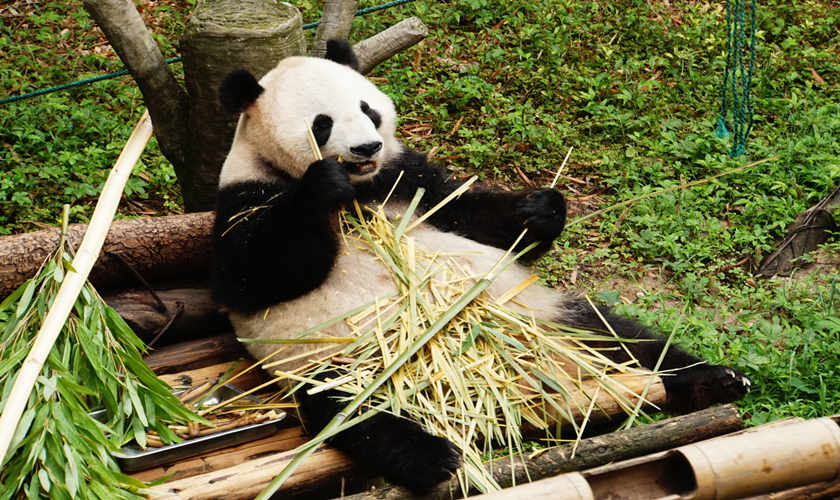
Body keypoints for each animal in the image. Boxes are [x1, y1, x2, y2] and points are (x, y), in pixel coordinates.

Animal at [210, 39, 748, 492]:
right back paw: (435, 457)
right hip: (343, 362)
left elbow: (473, 215)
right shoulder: (245, 197)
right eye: (322, 123)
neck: (362, 189)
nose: (366, 148)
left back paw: (714, 380)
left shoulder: (407, 177)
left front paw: (541, 210)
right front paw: (323, 187)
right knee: (359, 413)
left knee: (627, 341)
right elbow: (254, 277)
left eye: (367, 110)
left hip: (540, 315)